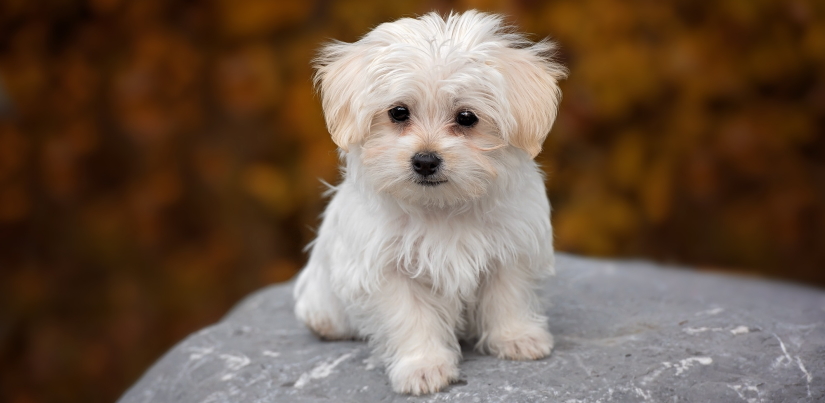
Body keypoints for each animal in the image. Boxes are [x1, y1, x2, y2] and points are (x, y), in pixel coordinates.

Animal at [292, 11, 568, 396]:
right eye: (398, 112)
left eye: (466, 118)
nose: (425, 160)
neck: (441, 207)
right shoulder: (387, 268)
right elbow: (411, 317)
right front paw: (422, 366)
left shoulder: (511, 246)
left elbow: (507, 295)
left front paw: (517, 337)